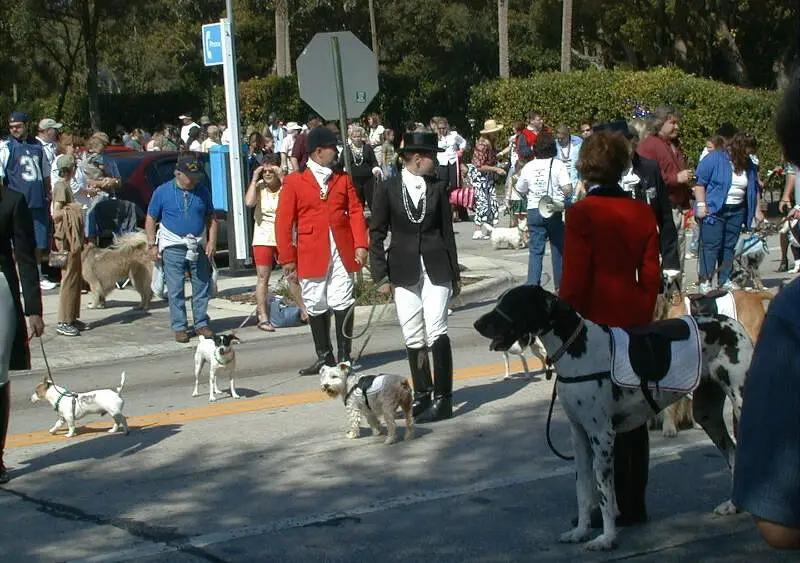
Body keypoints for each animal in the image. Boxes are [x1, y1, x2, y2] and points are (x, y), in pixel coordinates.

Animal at [476, 286, 756, 552]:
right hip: (707, 414)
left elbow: (604, 494)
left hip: (742, 405)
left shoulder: (602, 436)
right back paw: (733, 505)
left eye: (511, 302)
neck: (577, 348)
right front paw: (580, 532)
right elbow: (583, 491)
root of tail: (732, 324)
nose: (477, 324)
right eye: (500, 300)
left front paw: (606, 538)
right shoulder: (579, 436)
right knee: (732, 452)